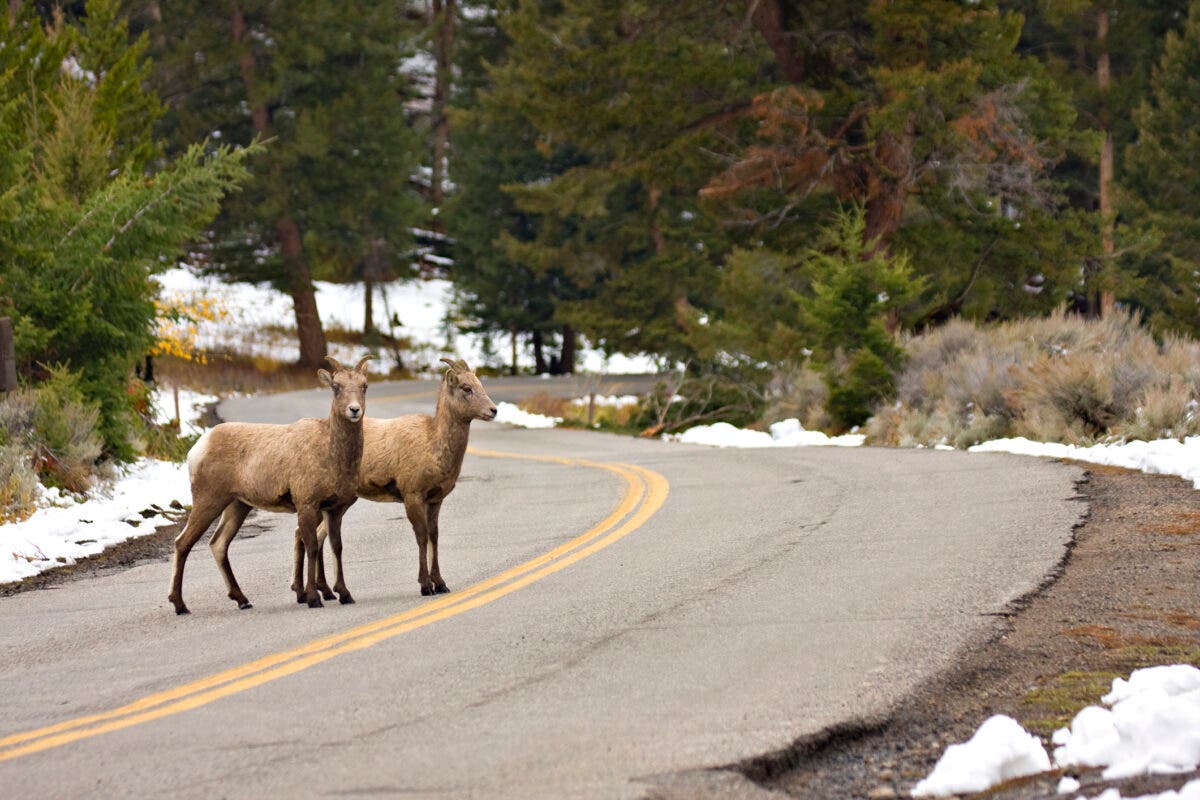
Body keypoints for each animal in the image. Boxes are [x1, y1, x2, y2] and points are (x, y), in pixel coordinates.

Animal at [167, 355, 372, 615]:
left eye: (364, 386)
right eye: (336, 387)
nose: (354, 410)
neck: (332, 453)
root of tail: (198, 448)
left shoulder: (334, 509)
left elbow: (336, 546)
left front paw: (345, 594)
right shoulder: (307, 505)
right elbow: (312, 546)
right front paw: (313, 598)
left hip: (237, 506)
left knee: (218, 544)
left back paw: (242, 600)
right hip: (208, 501)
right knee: (183, 543)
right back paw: (180, 605)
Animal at [299, 358, 497, 598]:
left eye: (480, 384)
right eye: (466, 388)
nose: (493, 410)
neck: (433, 444)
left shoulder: (435, 500)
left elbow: (434, 536)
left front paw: (441, 583)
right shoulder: (412, 495)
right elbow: (421, 536)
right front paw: (426, 586)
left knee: (315, 536)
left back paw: (324, 591)